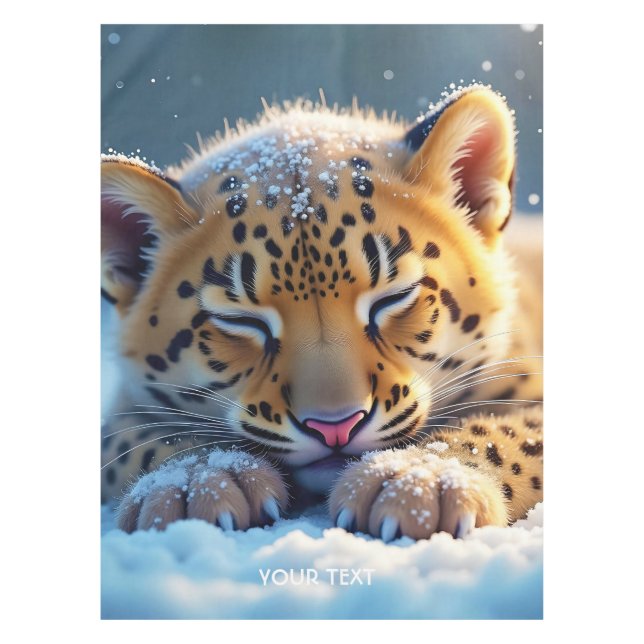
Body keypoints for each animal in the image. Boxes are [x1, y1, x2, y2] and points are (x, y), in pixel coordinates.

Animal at [101, 84, 543, 541]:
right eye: (241, 321)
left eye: (393, 298)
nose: (335, 426)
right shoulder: (119, 413)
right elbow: (137, 442)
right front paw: (195, 482)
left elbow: (506, 431)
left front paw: (417, 481)